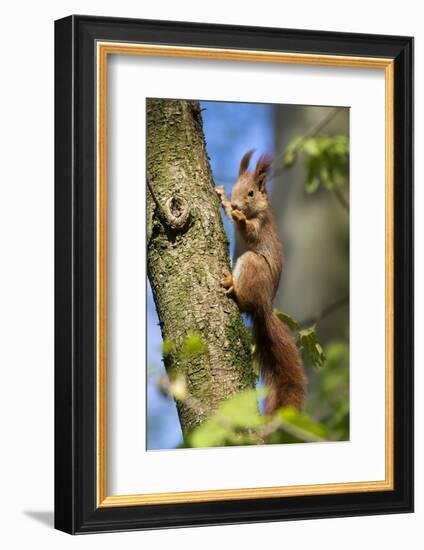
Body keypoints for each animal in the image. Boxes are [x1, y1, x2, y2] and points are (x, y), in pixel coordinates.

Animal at [217, 150, 306, 414]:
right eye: (235, 188)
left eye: (251, 193)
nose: (237, 204)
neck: (255, 212)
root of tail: (264, 305)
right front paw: (224, 199)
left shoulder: (261, 226)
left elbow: (250, 230)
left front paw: (238, 217)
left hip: (251, 264)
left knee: (243, 298)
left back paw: (233, 285)